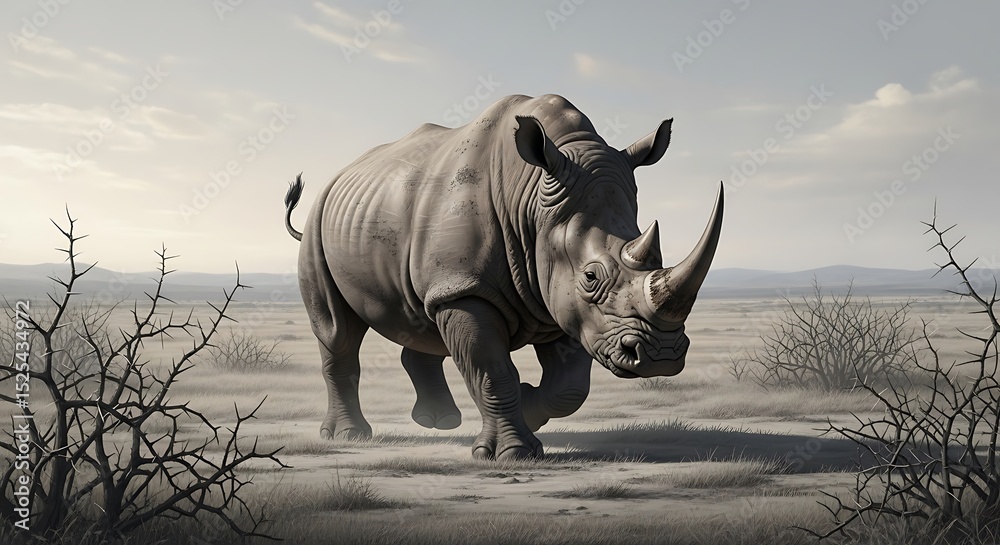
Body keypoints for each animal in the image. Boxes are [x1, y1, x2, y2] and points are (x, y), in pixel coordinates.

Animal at [283, 94, 723, 460]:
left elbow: (570, 386)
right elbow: (492, 370)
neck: (532, 204)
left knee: (422, 318)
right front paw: (512, 454)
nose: (661, 356)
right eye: (590, 277)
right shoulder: (466, 289)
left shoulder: (561, 302)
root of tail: (339, 176)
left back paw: (440, 422)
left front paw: (530, 410)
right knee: (337, 331)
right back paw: (347, 435)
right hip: (321, 223)